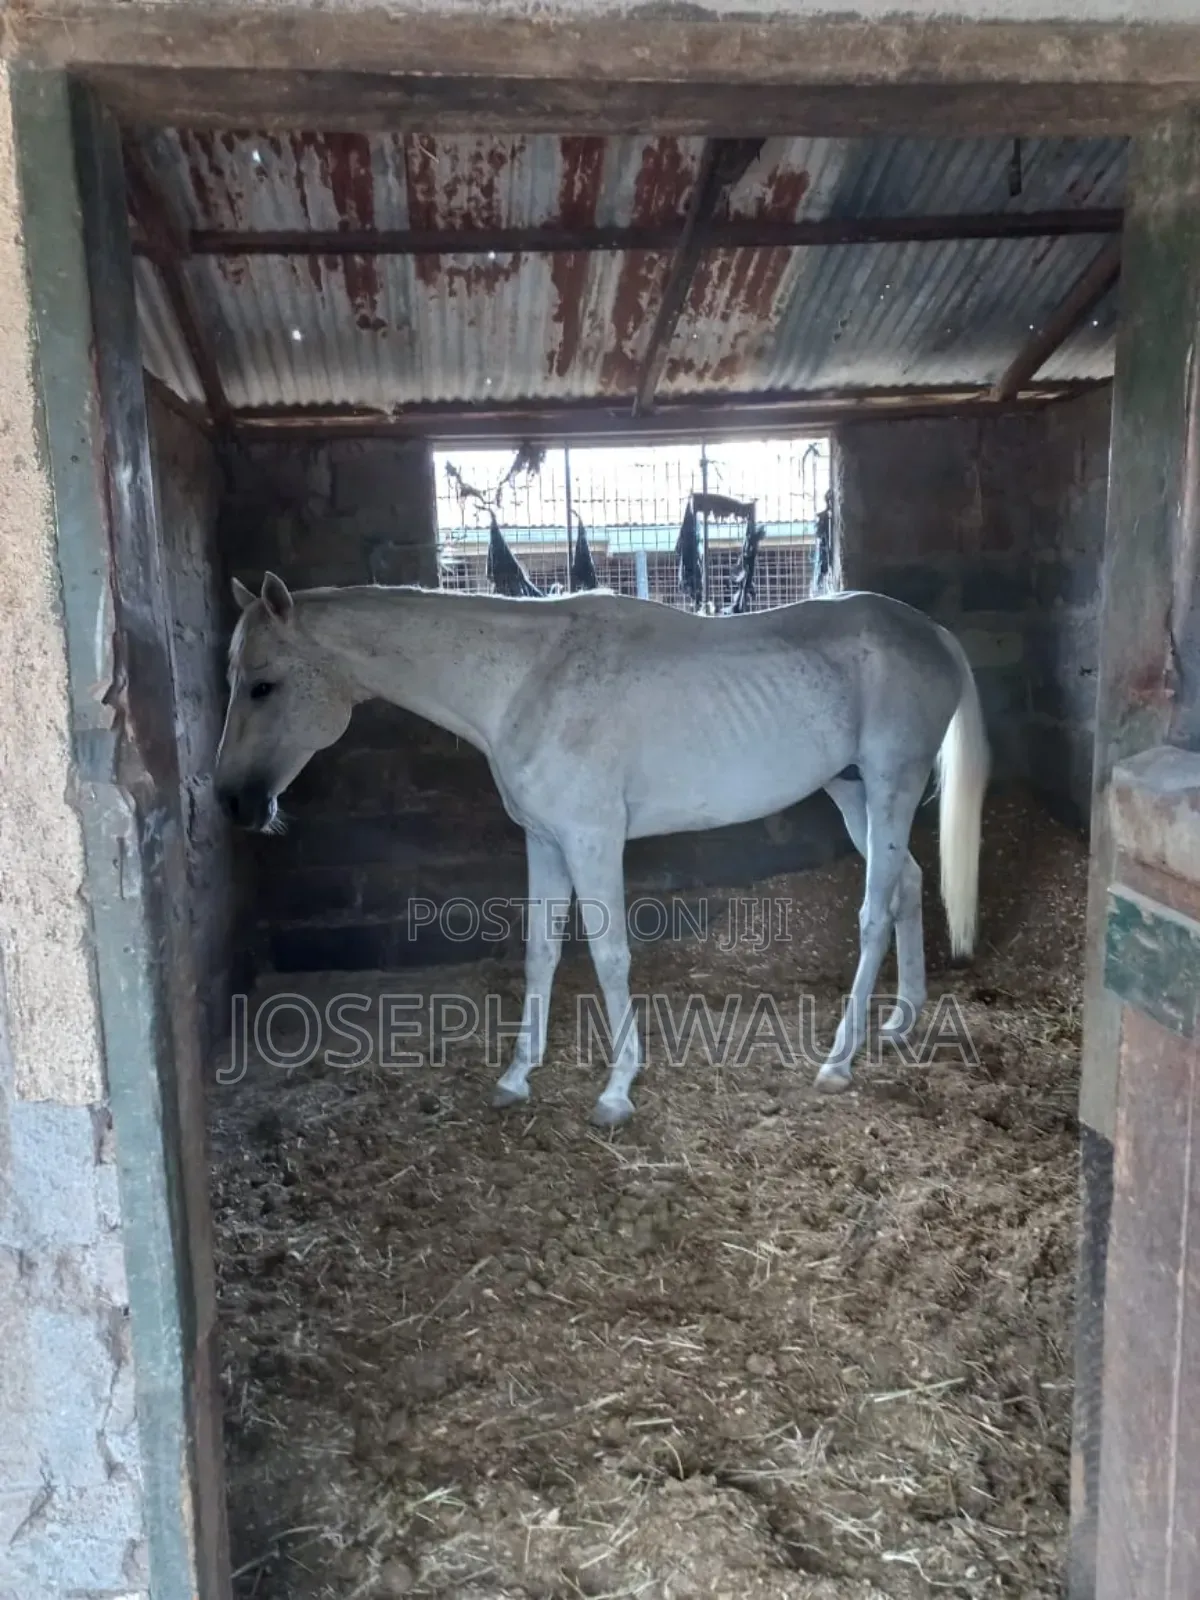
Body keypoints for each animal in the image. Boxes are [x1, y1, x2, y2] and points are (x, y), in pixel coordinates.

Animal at [214, 573, 989, 1127]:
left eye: (262, 684)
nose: (234, 802)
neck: (526, 682)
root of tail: (933, 632)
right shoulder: (545, 840)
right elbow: (541, 952)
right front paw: (516, 1076)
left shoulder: (592, 839)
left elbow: (610, 954)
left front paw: (617, 1090)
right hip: (853, 792)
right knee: (906, 882)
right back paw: (902, 1019)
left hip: (890, 784)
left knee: (874, 911)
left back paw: (839, 1059)